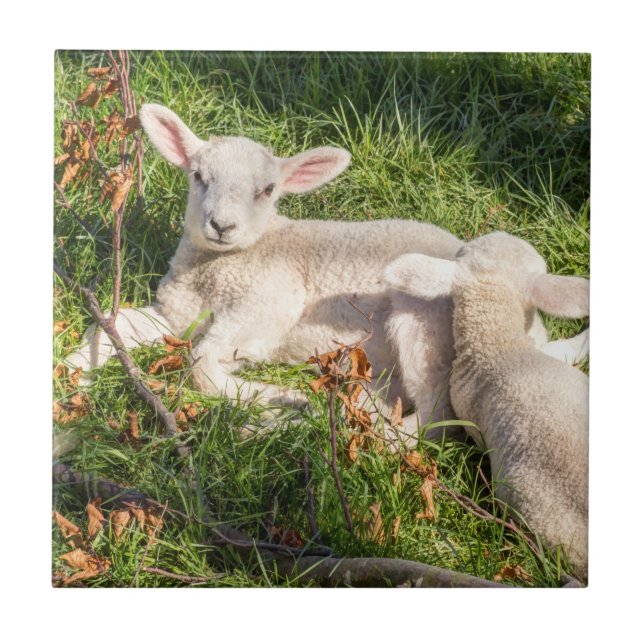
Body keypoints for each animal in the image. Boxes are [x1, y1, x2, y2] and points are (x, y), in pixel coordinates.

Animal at [65, 104, 589, 438]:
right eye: (198, 176)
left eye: (267, 191)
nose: (221, 226)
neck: (220, 267)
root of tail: (535, 333)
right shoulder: (176, 313)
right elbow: (109, 326)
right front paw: (72, 375)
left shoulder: (268, 303)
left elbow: (201, 365)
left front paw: (277, 399)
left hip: (426, 324)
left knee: (437, 419)